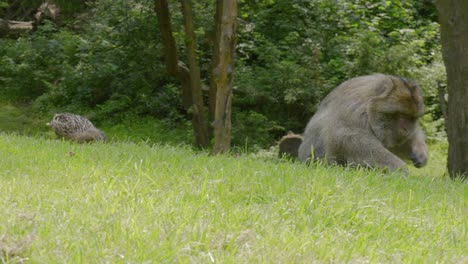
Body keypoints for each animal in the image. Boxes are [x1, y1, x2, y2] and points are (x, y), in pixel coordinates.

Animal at [296, 73, 428, 174]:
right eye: (400, 115)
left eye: (411, 117)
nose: (406, 129)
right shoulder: (355, 109)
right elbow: (347, 138)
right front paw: (399, 168)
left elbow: (398, 143)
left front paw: (419, 151)